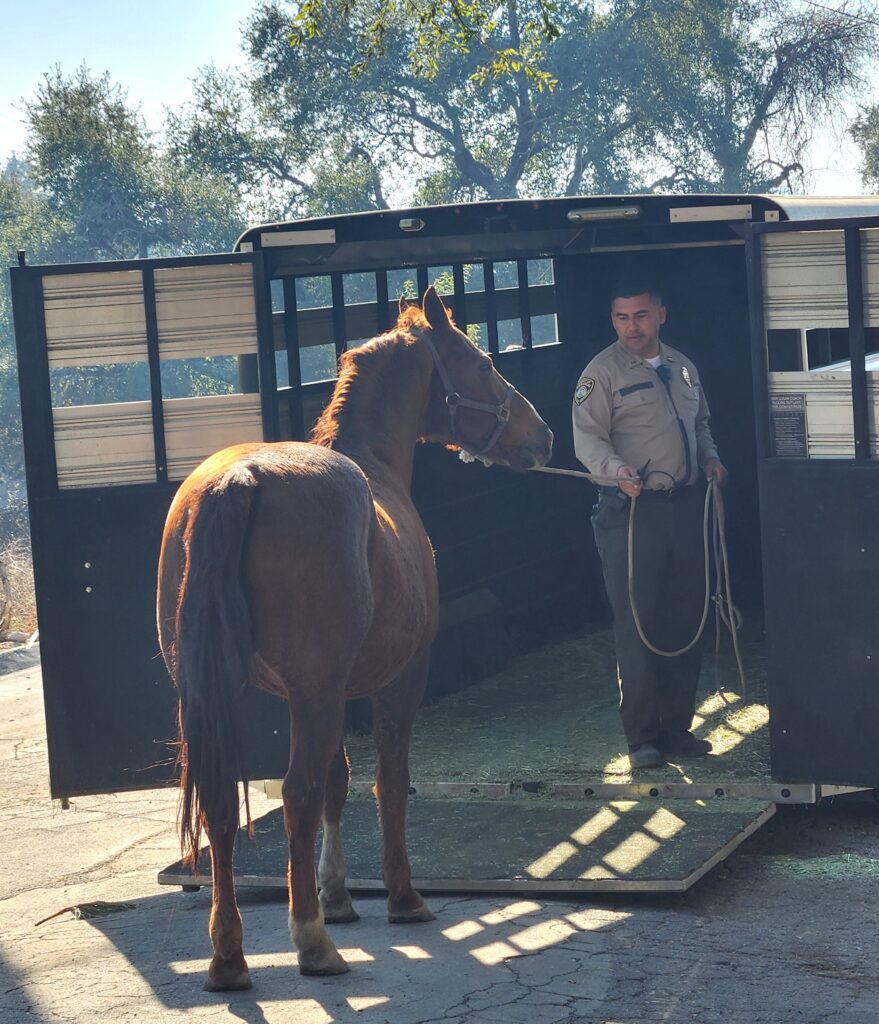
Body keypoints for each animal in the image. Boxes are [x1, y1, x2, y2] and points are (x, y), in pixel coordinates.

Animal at [156, 284, 553, 987]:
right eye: (481, 363)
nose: (544, 436)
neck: (376, 468)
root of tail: (238, 481)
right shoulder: (395, 681)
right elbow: (387, 782)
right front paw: (400, 897)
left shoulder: (331, 691)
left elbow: (338, 782)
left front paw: (337, 896)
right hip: (312, 695)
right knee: (294, 796)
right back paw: (310, 943)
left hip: (213, 697)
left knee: (223, 808)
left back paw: (229, 956)